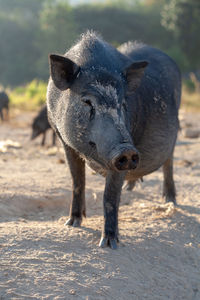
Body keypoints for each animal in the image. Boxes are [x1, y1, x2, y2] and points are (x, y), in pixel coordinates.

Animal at [46, 31, 181, 250]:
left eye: (123, 103)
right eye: (87, 101)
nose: (126, 150)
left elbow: (109, 195)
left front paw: (108, 244)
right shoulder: (64, 141)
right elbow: (77, 181)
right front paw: (72, 223)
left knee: (169, 162)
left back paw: (170, 202)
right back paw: (130, 188)